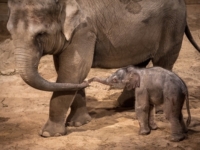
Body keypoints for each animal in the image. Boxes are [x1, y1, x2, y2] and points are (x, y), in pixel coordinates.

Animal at [7, 0, 199, 137]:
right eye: (9, 31)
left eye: (41, 34)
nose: (90, 83)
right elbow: (70, 72)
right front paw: (79, 123)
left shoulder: (84, 30)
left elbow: (73, 70)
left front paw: (48, 134)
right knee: (141, 62)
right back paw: (124, 104)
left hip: (172, 25)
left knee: (163, 60)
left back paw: (157, 109)